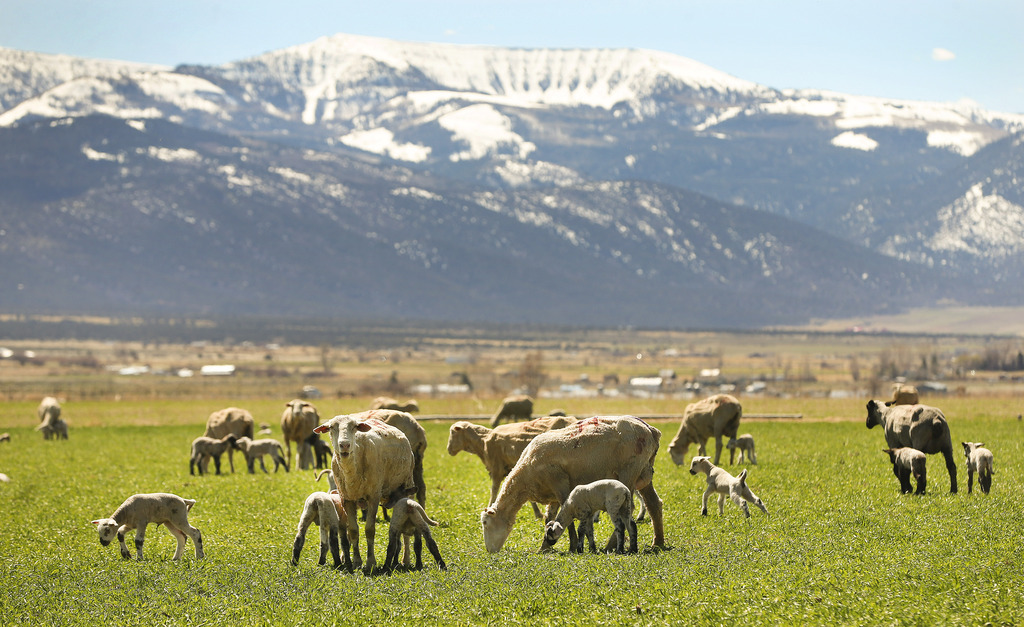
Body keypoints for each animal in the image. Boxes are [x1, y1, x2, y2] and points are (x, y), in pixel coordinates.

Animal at [313, 411, 416, 575]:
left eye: (355, 427)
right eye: (331, 427)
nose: (344, 445)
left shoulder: (373, 496)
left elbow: (369, 530)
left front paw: (371, 563)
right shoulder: (346, 499)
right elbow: (353, 531)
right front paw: (356, 562)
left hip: (407, 486)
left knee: (405, 530)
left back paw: (405, 560)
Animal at [447, 415, 578, 513]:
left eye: (453, 432)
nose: (448, 450)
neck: (482, 441)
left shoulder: (497, 468)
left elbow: (494, 490)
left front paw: (489, 506)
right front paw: (537, 513)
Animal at [480, 415, 665, 553]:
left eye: (485, 523)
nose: (489, 551)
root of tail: (650, 430)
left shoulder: (560, 483)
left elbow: (566, 514)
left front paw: (573, 546)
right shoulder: (552, 493)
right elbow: (549, 517)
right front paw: (544, 547)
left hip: (628, 472)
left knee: (629, 509)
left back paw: (611, 546)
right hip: (644, 472)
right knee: (654, 504)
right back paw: (658, 543)